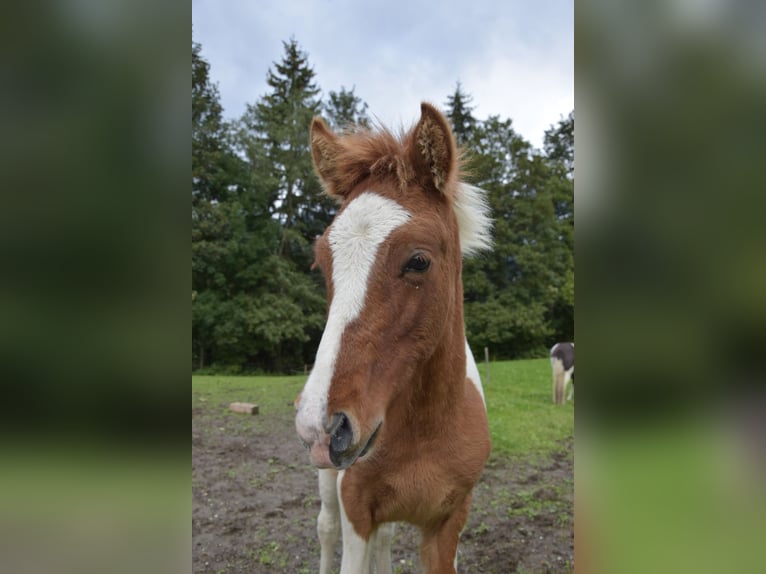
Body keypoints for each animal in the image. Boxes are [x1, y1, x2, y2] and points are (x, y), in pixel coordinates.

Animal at [294, 104, 492, 574]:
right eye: (321, 263)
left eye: (418, 261)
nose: (323, 425)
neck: (425, 431)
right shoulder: (354, 507)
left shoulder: (448, 522)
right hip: (327, 480)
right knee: (325, 528)